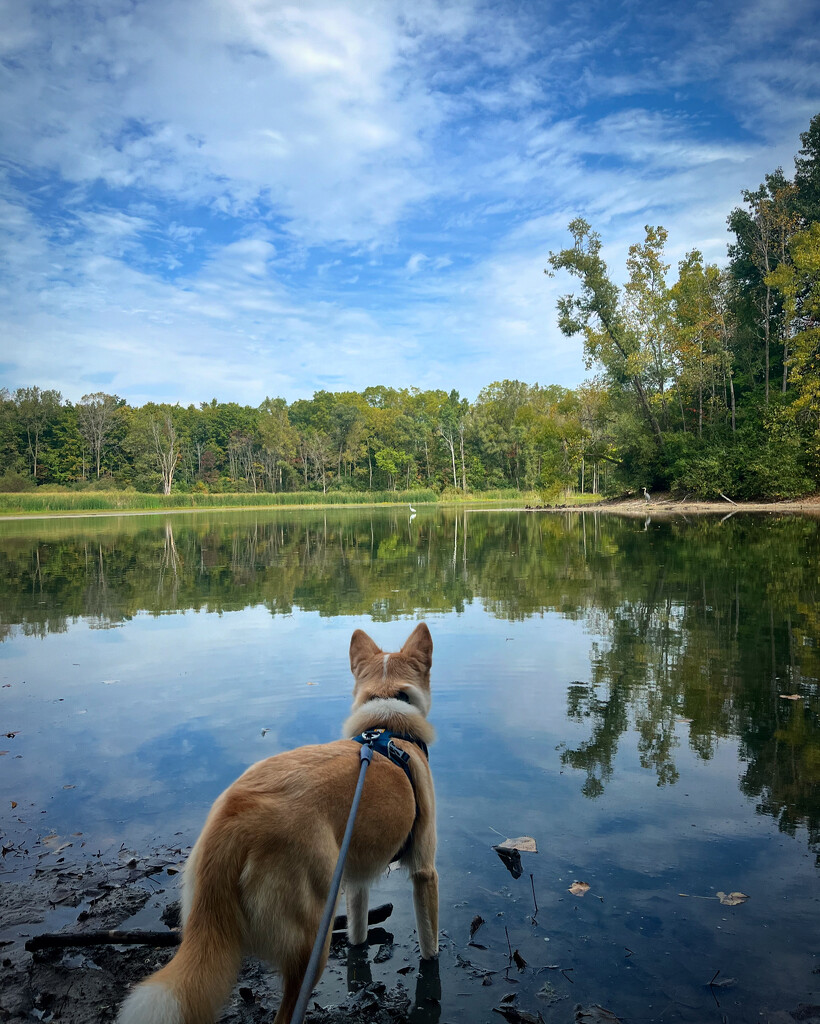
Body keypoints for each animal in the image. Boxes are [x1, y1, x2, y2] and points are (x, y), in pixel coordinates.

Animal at [116, 622, 438, 1024]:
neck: (386, 726)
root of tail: (234, 819)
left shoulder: (355, 879)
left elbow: (359, 930)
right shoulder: (424, 870)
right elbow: (430, 944)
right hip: (311, 941)